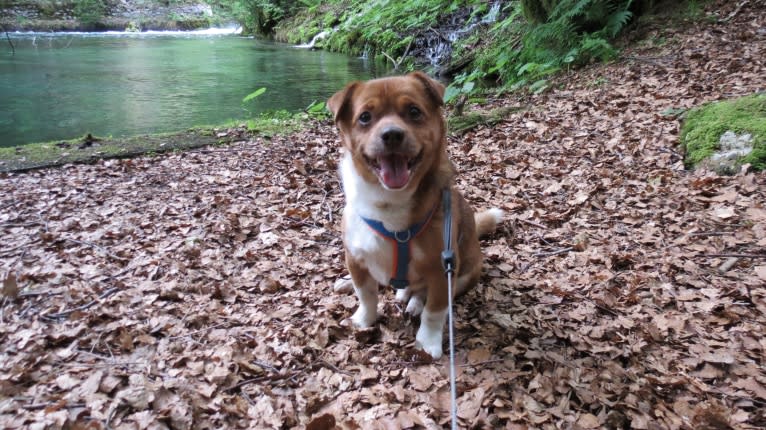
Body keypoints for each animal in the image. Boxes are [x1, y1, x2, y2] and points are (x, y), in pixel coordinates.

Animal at [328, 71, 504, 360]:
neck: (390, 202)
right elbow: (366, 295)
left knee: (426, 294)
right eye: (365, 117)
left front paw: (428, 342)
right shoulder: (355, 257)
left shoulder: (442, 269)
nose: (392, 135)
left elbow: (435, 311)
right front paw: (364, 319)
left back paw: (413, 303)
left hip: (464, 274)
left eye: (413, 111)